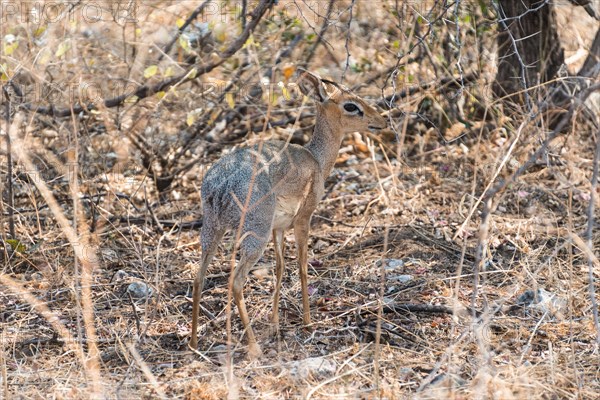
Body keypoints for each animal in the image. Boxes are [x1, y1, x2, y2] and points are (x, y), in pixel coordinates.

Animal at [192, 67, 390, 358]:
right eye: (351, 106)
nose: (382, 120)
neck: (317, 160)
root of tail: (221, 183)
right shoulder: (303, 218)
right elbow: (302, 266)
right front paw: (308, 321)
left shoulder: (279, 227)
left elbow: (280, 267)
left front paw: (275, 323)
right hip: (255, 232)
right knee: (236, 281)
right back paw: (253, 346)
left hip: (213, 228)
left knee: (199, 277)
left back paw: (193, 343)